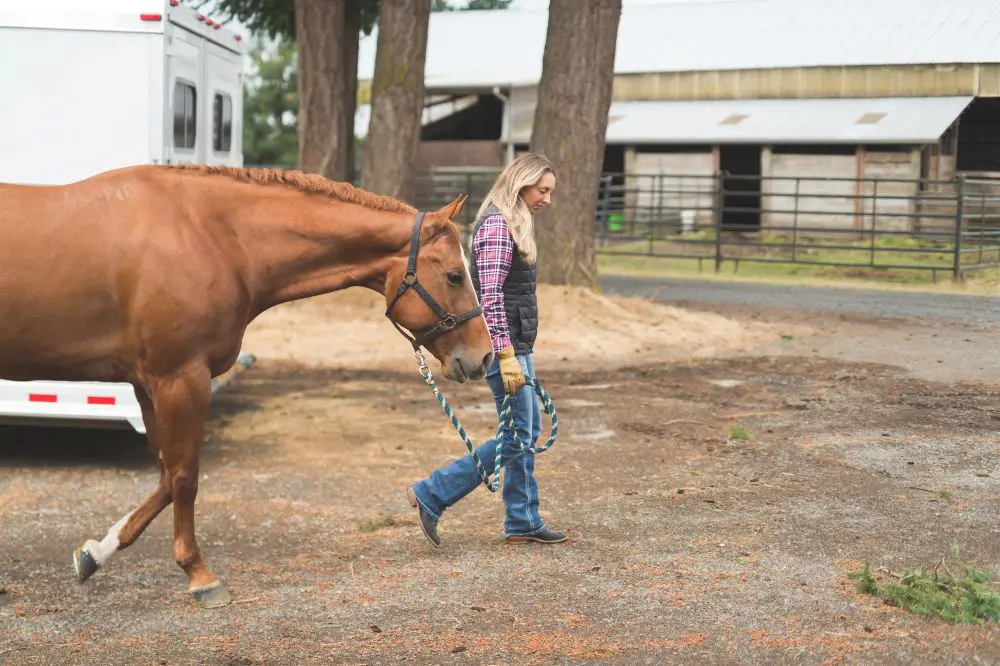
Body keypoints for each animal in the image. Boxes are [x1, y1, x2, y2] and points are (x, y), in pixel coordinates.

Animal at [0, 163, 492, 604]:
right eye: (454, 275)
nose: (484, 356)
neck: (209, 236)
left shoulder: (150, 384)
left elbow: (165, 476)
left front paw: (96, 553)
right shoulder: (182, 379)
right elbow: (184, 476)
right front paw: (199, 574)